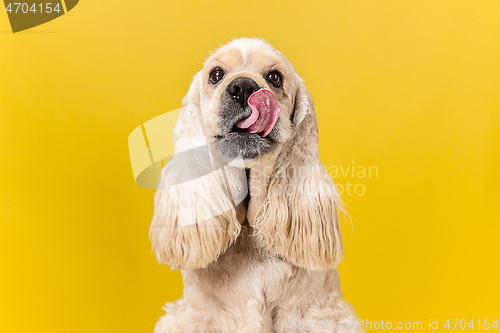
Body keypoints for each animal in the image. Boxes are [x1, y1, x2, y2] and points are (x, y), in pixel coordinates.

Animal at [147, 37, 360, 330]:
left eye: (275, 77)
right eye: (216, 74)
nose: (243, 87)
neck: (250, 239)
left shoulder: (311, 315)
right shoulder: (200, 315)